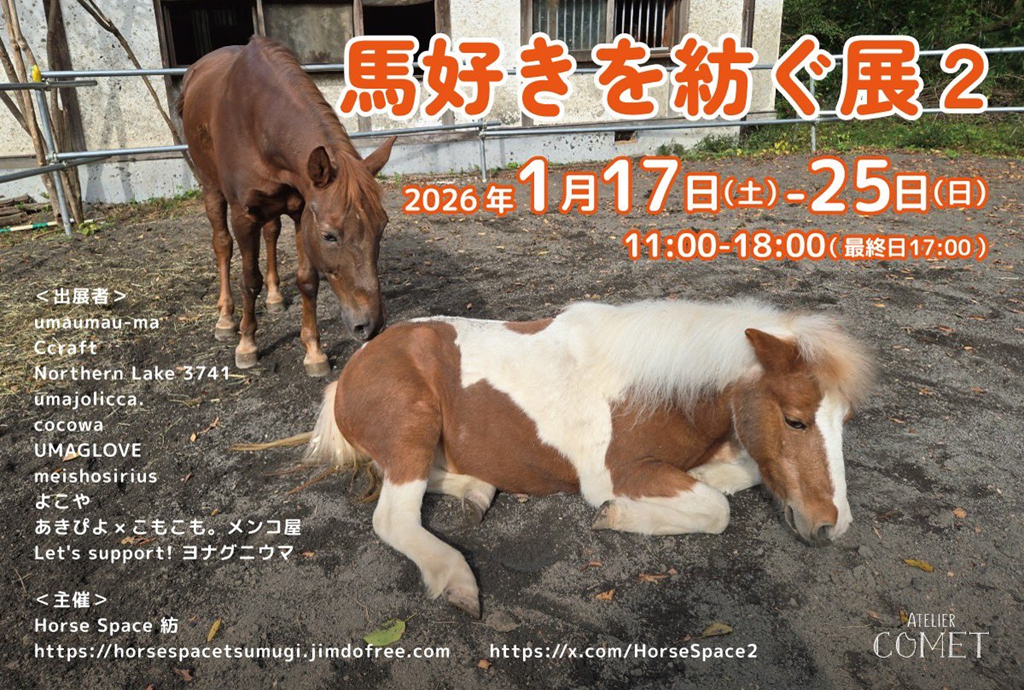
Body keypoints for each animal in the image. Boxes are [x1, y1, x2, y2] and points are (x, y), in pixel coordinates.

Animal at [178, 36, 396, 376]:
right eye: (329, 236)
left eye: (381, 228)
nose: (371, 326)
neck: (258, 120)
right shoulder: (244, 215)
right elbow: (248, 279)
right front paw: (247, 344)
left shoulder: (301, 210)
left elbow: (307, 280)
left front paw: (314, 351)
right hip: (211, 188)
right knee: (222, 245)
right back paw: (226, 319)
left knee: (270, 233)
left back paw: (274, 297)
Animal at [268, 299, 874, 617]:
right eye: (795, 420)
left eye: (842, 420)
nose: (831, 526)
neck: (662, 385)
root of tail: (352, 370)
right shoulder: (620, 472)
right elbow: (714, 510)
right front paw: (617, 515)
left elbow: (741, 473)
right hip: (411, 426)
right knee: (394, 515)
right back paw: (455, 576)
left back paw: (477, 491)